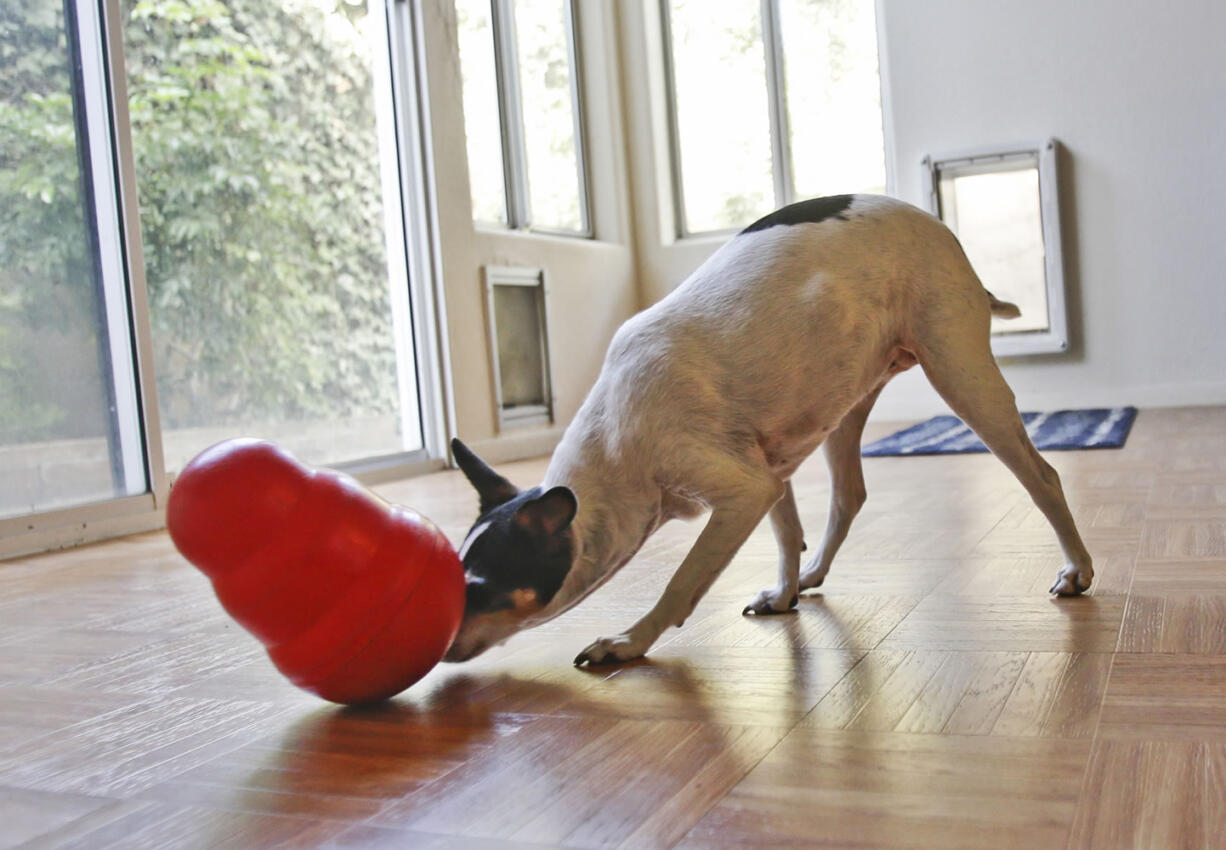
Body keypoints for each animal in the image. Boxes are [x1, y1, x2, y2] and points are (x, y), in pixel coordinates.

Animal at [446, 195, 1098, 667]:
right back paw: (812, 577)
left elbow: (682, 582)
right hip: (843, 405)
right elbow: (787, 535)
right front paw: (785, 592)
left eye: (478, 589)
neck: (614, 451)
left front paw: (630, 642)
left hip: (962, 377)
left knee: (1042, 476)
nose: (441, 646)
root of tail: (943, 231)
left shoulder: (741, 491)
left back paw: (1078, 570)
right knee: (849, 496)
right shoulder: (769, 471)